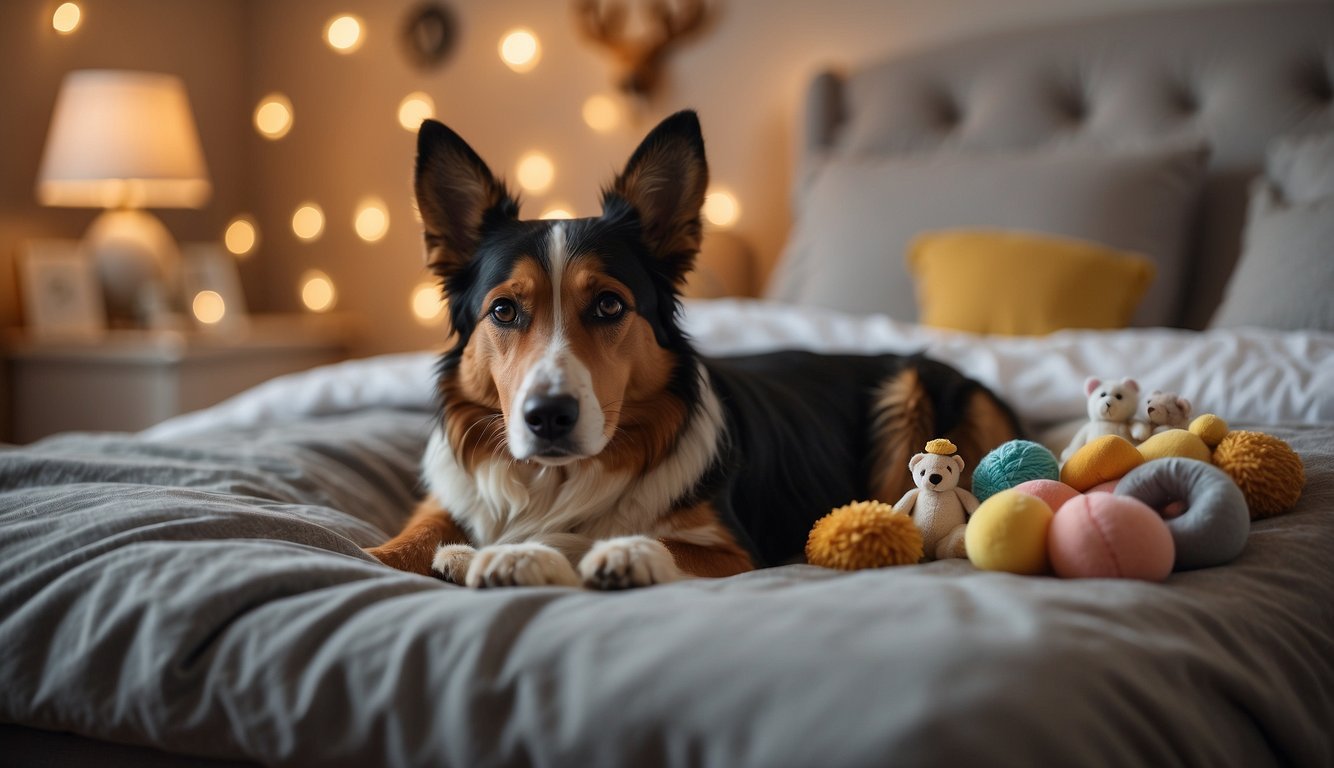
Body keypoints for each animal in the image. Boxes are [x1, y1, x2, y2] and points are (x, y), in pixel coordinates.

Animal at [368, 109, 1019, 586]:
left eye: (609, 305)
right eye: (504, 310)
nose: (547, 417)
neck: (559, 481)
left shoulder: (732, 551)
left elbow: (598, 538)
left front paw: (521, 554)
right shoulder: (443, 499)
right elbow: (396, 542)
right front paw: (400, 556)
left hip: (907, 392)